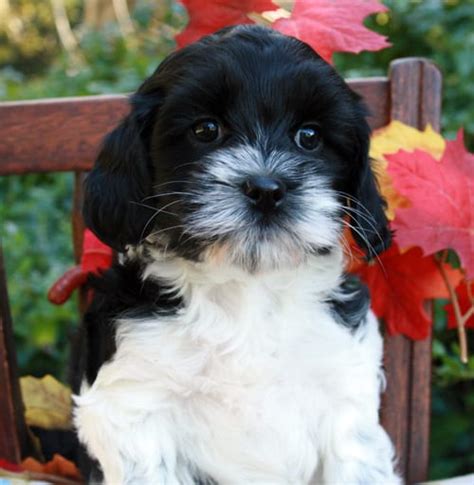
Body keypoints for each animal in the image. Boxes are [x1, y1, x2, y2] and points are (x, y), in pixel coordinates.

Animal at [74, 23, 400, 484]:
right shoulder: (133, 401)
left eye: (310, 137)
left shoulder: (343, 389)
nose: (266, 189)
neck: (247, 289)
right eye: (206, 130)